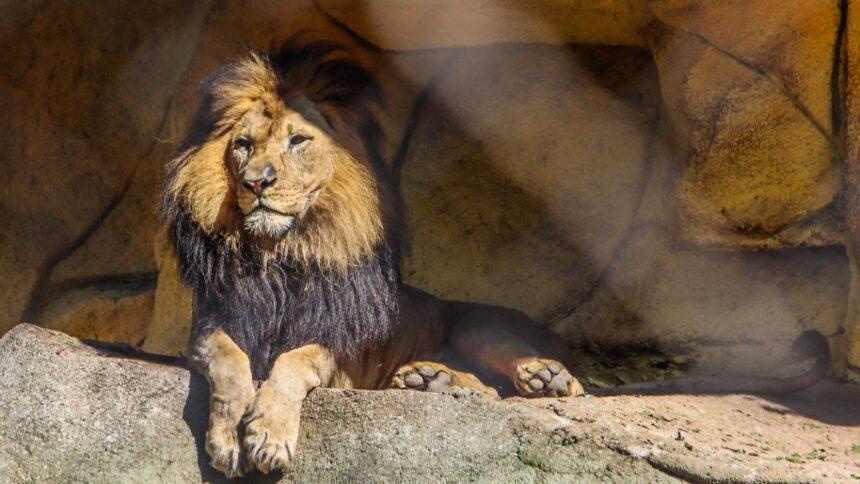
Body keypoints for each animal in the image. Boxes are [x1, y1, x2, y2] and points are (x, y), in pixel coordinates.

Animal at [162, 38, 831, 477]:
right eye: (243, 146)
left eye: (299, 140)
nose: (257, 182)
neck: (281, 256)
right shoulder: (213, 325)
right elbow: (231, 366)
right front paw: (228, 439)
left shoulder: (337, 346)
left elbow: (291, 365)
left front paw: (268, 437)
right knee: (484, 393)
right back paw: (428, 379)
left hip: (482, 327)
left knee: (519, 386)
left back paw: (539, 375)